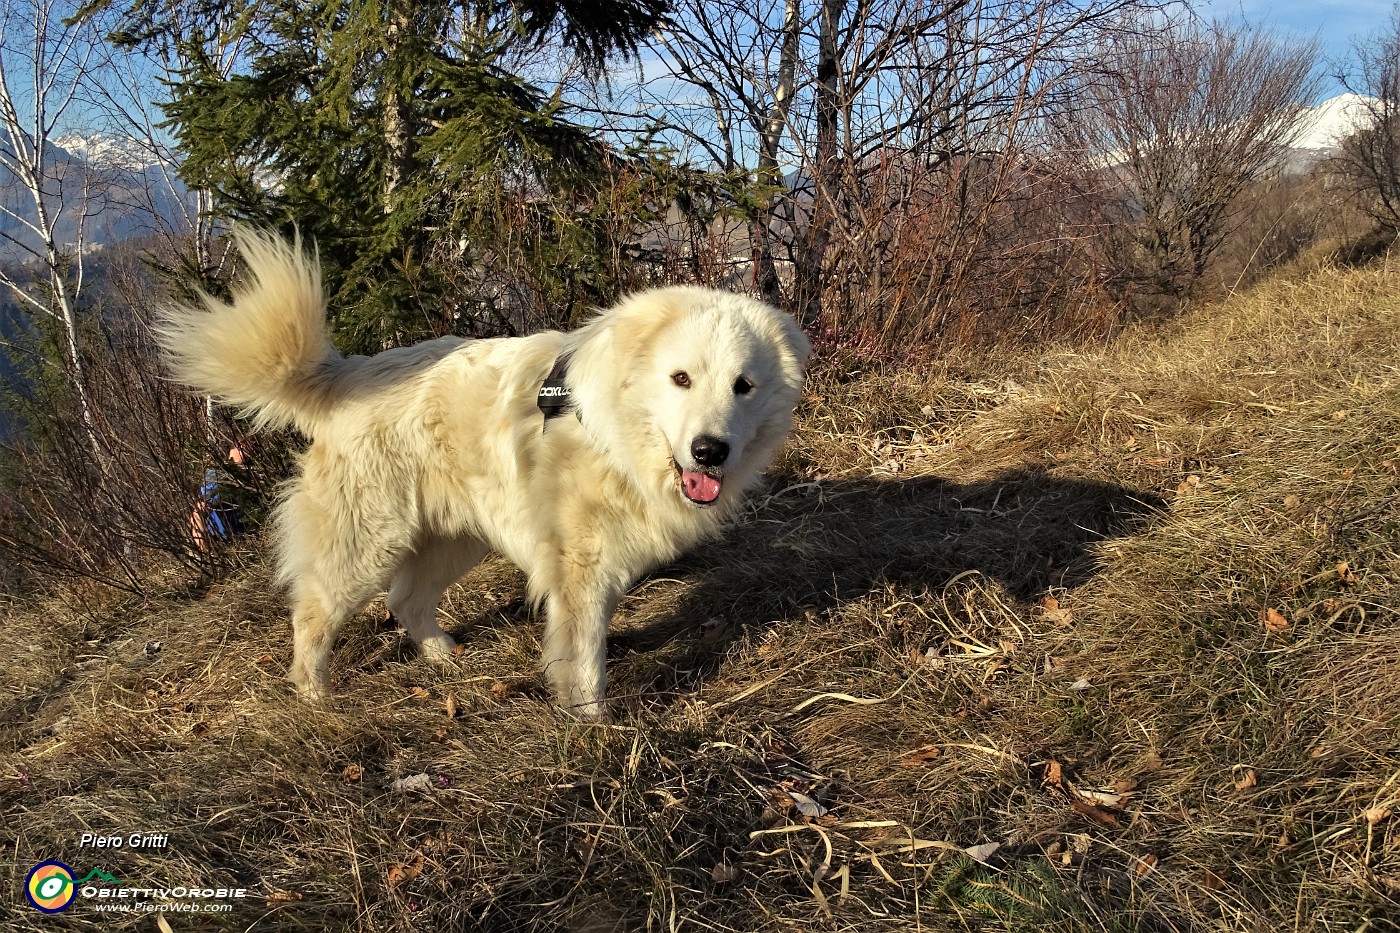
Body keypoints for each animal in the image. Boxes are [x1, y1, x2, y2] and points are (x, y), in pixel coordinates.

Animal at [156, 231, 812, 711]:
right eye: (680, 378)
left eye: (743, 386)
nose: (709, 451)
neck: (610, 431)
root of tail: (348, 374)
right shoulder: (579, 569)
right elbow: (583, 657)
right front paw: (591, 723)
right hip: (367, 545)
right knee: (314, 614)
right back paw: (316, 695)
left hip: (454, 538)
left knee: (405, 600)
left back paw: (442, 655)